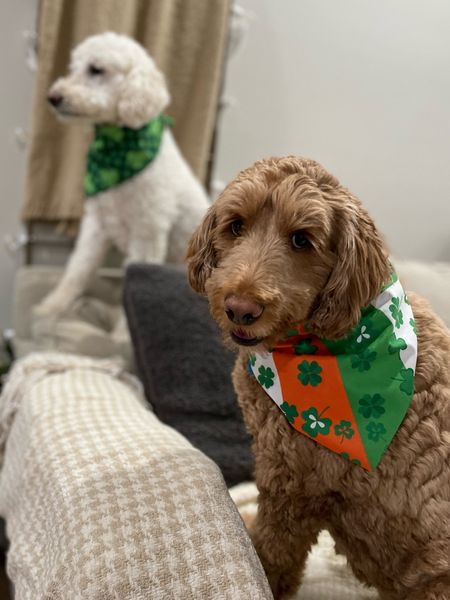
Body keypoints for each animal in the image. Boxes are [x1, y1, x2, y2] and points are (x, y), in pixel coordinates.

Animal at [37, 34, 209, 318]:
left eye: (96, 69)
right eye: (73, 68)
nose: (53, 97)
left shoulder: (147, 237)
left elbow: (134, 294)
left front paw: (121, 328)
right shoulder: (96, 226)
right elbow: (77, 268)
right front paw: (53, 305)